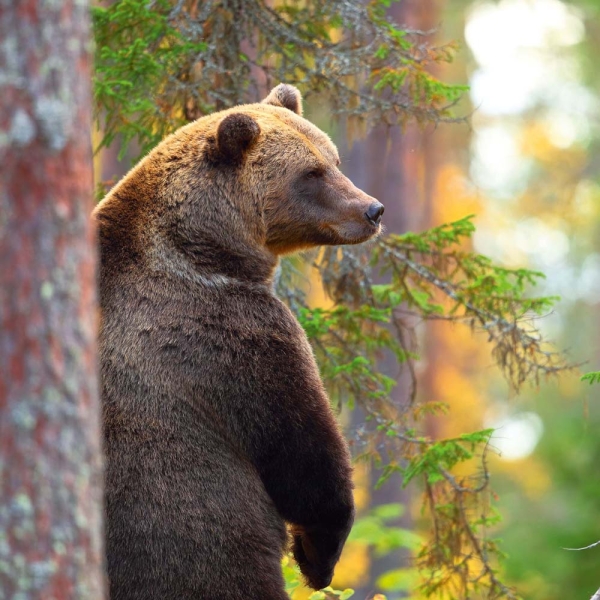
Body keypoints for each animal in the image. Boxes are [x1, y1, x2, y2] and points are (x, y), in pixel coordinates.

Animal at [94, 84, 384, 600]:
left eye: (334, 159)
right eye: (311, 173)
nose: (371, 210)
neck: (208, 249)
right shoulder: (237, 335)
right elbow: (304, 453)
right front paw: (317, 558)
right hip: (204, 548)